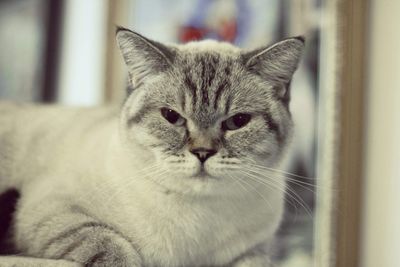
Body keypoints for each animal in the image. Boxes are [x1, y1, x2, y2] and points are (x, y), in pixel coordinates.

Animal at [0, 28, 304, 266]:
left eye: (237, 122)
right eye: (171, 117)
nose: (202, 153)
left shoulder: (255, 251)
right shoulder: (51, 210)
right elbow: (112, 246)